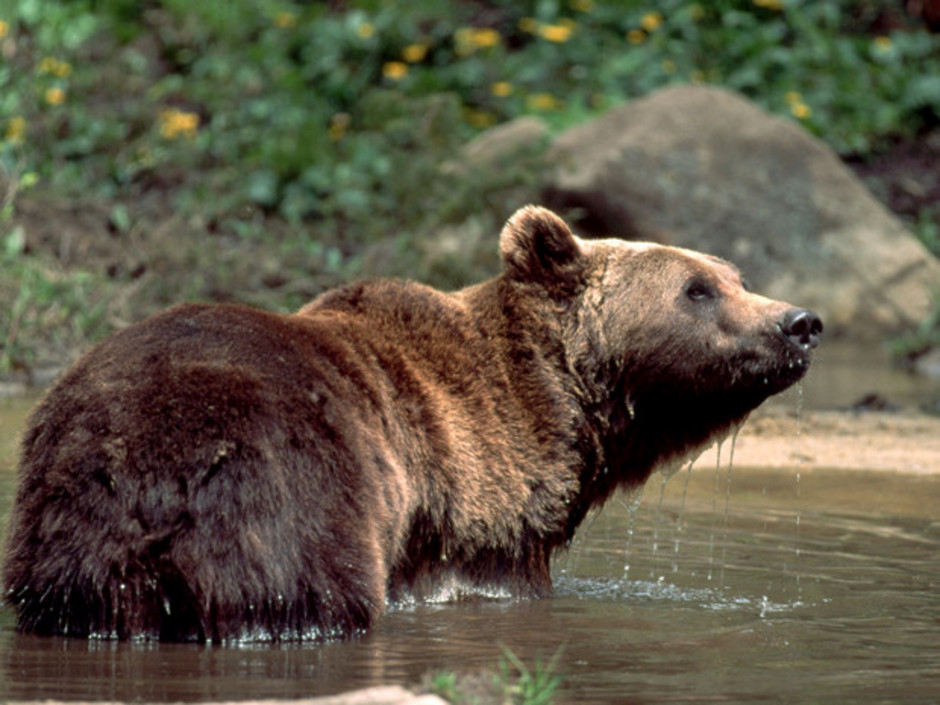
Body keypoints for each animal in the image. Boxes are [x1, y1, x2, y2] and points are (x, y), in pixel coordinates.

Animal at [0, 206, 820, 640]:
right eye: (696, 288)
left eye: (736, 277)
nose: (800, 321)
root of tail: (154, 468)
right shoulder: (484, 525)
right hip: (295, 501)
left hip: (68, 532)